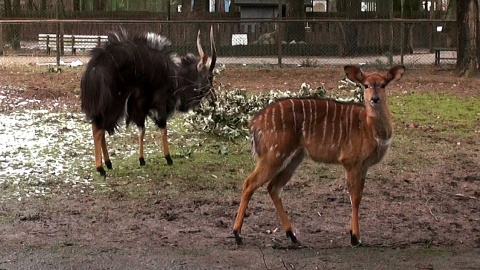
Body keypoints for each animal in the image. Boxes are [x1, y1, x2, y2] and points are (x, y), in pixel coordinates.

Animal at [232, 64, 404, 246]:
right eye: (366, 85)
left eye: (383, 84)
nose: (375, 99)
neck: (369, 128)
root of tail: (254, 123)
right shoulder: (350, 162)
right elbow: (355, 198)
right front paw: (355, 238)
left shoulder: (363, 167)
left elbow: (358, 196)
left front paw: (354, 235)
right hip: (273, 155)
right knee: (249, 183)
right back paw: (237, 234)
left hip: (295, 157)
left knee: (273, 187)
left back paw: (293, 236)